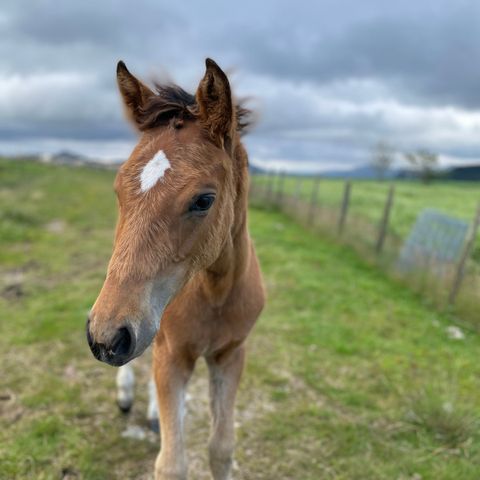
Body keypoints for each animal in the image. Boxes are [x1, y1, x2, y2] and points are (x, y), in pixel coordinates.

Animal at [87, 60, 266, 480]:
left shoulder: (230, 356)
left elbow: (221, 449)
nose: (106, 339)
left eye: (204, 200)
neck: (216, 293)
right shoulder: (171, 353)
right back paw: (126, 393)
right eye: (118, 189)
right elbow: (171, 464)